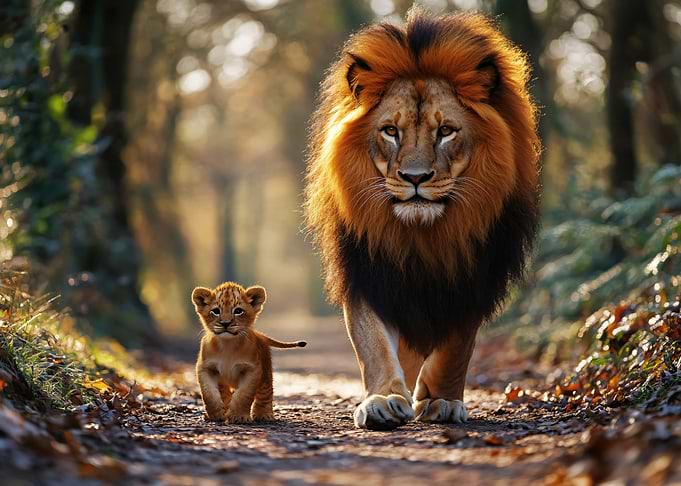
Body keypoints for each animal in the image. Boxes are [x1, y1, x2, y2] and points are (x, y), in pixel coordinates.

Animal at [192, 282, 306, 423]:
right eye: (216, 311)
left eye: (238, 311)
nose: (225, 323)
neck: (227, 344)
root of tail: (260, 335)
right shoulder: (206, 368)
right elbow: (208, 393)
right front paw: (216, 414)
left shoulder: (253, 369)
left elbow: (243, 394)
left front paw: (239, 416)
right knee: (224, 392)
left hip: (266, 371)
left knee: (265, 392)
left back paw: (264, 415)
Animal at [304, 8, 540, 430]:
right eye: (390, 131)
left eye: (445, 131)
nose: (415, 178)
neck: (421, 235)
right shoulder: (368, 273)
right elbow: (374, 346)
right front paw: (383, 400)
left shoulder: (471, 275)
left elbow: (455, 349)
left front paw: (441, 400)